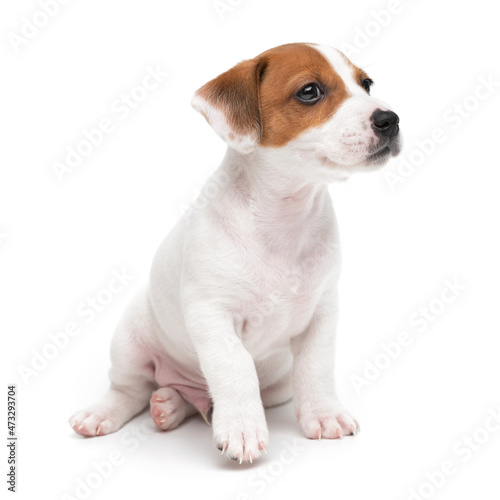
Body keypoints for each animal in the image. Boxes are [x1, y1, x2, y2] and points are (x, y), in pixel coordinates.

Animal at [68, 43, 400, 464]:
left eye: (367, 84)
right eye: (310, 91)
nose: (390, 119)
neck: (283, 220)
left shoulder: (323, 311)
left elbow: (316, 366)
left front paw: (324, 415)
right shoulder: (211, 313)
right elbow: (234, 366)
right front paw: (242, 429)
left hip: (275, 386)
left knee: (192, 399)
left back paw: (170, 405)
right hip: (129, 342)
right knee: (130, 390)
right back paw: (106, 413)